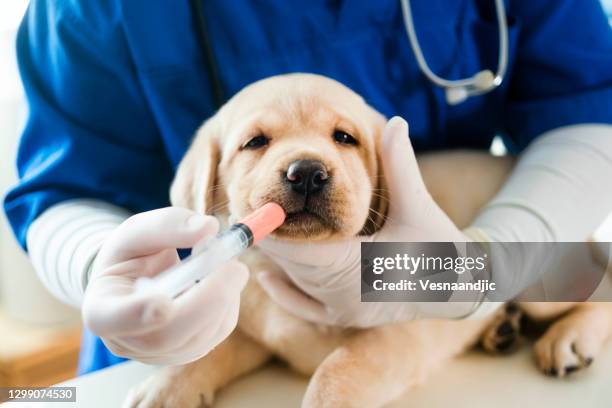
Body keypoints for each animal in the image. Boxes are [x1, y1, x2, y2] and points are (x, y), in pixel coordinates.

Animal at [125, 73, 612, 408]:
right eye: (255, 142)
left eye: (345, 138)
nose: (307, 172)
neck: (296, 271)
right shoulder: (259, 327)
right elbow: (213, 348)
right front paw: (166, 387)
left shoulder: (400, 331)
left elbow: (336, 370)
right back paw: (501, 329)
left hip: (545, 283)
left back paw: (569, 339)